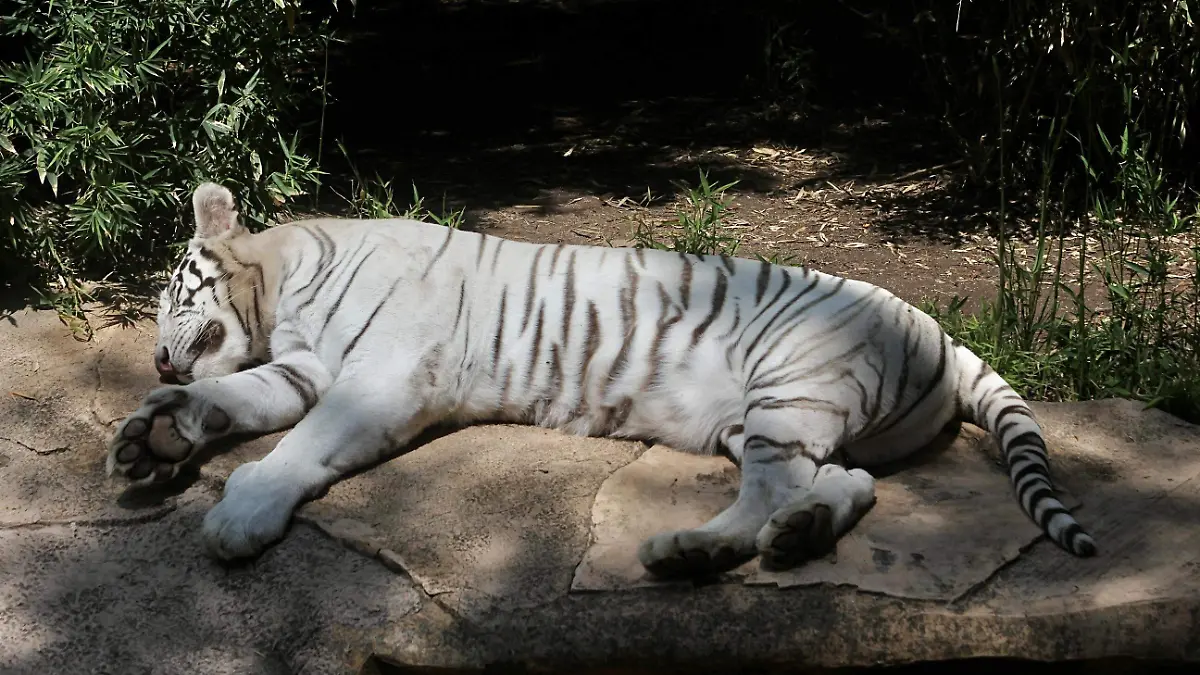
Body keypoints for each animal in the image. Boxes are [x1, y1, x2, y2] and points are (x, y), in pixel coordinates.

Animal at [106, 182, 1097, 576]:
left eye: (172, 293)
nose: (153, 357)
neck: (285, 287)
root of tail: (940, 329)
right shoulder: (306, 368)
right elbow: (234, 399)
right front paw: (157, 431)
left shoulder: (378, 378)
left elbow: (297, 446)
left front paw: (239, 513)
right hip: (770, 419)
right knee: (840, 478)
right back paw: (800, 534)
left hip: (788, 385)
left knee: (771, 491)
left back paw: (689, 551)